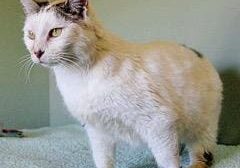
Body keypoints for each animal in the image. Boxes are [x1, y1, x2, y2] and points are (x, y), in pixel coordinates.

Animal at [20, 0, 223, 167]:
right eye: (31, 35)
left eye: (55, 32)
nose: (37, 52)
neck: (78, 76)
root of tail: (199, 54)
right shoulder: (98, 130)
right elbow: (103, 159)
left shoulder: (159, 123)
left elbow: (168, 161)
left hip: (202, 126)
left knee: (203, 154)